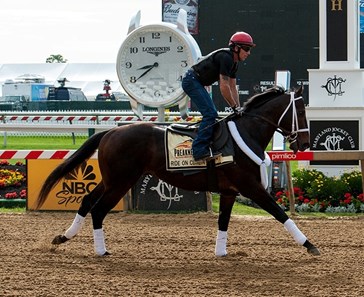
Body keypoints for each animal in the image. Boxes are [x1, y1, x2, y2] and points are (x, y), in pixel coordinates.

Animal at [34, 85, 318, 254]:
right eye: (301, 110)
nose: (304, 143)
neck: (246, 132)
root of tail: (111, 131)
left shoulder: (229, 191)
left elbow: (223, 221)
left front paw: (221, 252)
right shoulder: (251, 186)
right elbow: (280, 213)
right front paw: (309, 244)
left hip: (113, 179)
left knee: (86, 201)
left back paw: (64, 237)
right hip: (121, 182)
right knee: (98, 209)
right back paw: (101, 250)